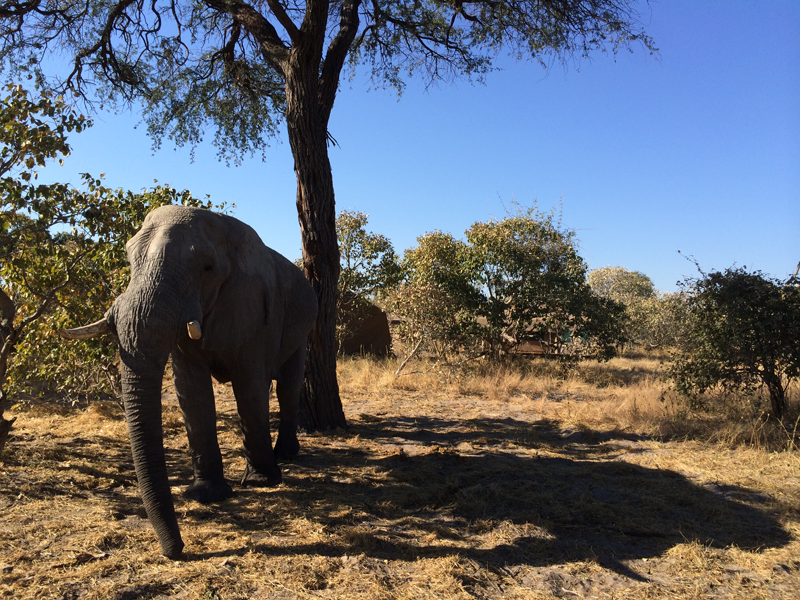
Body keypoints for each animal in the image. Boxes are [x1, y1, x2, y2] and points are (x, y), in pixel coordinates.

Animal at [60, 205, 318, 559]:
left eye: (207, 268)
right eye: (129, 260)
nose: (176, 550)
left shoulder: (258, 308)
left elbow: (249, 387)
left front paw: (260, 483)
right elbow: (192, 392)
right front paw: (206, 495)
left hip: (301, 325)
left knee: (287, 387)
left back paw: (287, 455)